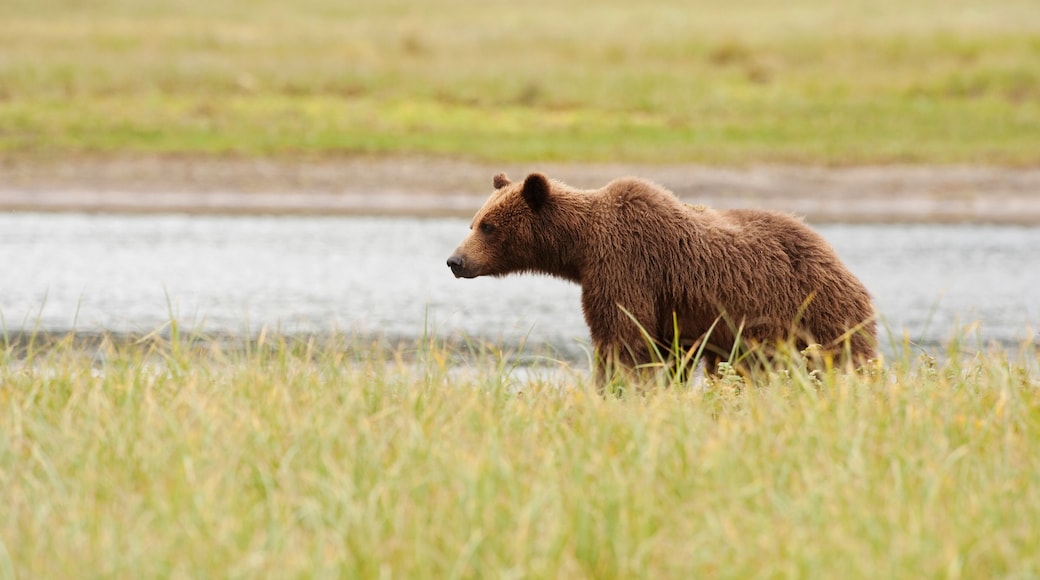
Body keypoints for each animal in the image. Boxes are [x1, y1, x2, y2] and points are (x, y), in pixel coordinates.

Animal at [446, 172, 876, 380]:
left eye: (488, 226)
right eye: (473, 222)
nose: (455, 261)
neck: (581, 248)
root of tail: (837, 258)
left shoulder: (627, 265)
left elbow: (624, 341)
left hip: (814, 310)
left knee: (845, 357)